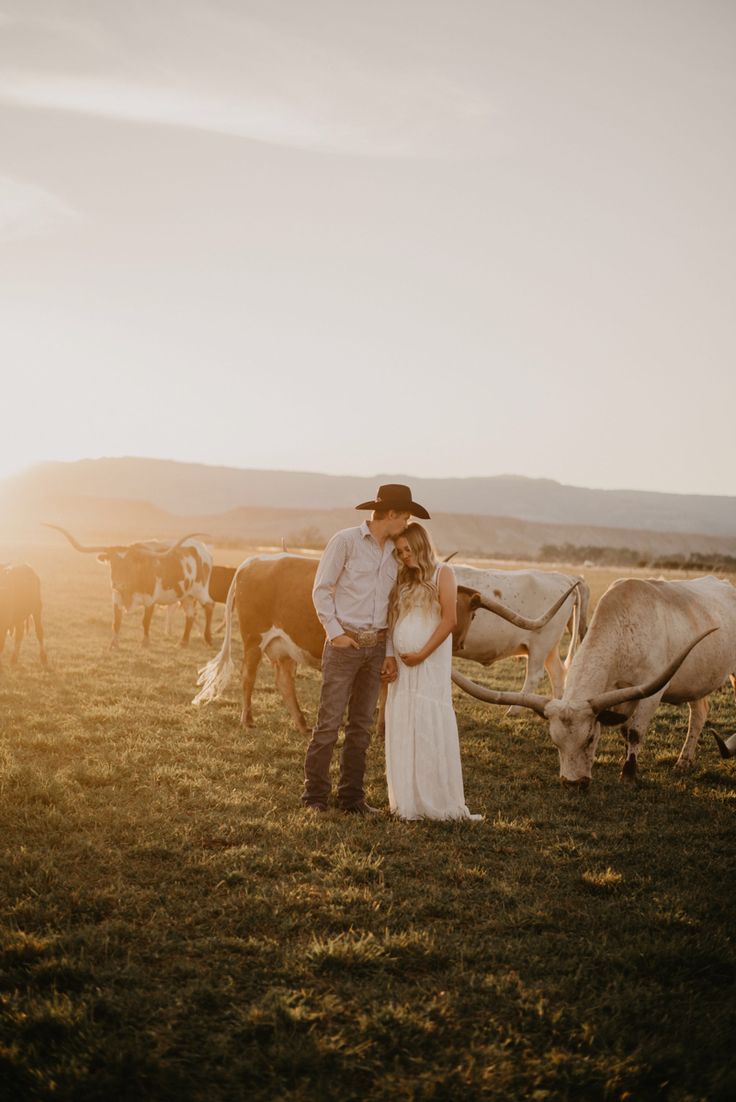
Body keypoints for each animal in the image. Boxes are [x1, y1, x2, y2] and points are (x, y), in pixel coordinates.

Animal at [46, 524, 213, 643]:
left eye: (130, 563)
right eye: (112, 563)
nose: (118, 584)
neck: (130, 588)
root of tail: (204, 549)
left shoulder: (150, 600)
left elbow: (145, 621)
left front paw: (145, 643)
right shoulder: (116, 598)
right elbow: (116, 622)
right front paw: (113, 644)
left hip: (201, 590)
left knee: (209, 606)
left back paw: (208, 638)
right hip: (186, 595)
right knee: (190, 614)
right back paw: (183, 642)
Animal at [191, 555, 572, 736]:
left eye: (471, 613)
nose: (456, 638)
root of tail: (254, 561)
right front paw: (381, 729)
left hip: (285, 646)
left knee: (284, 682)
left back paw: (301, 724)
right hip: (254, 638)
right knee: (247, 678)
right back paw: (248, 720)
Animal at [451, 564, 590, 709]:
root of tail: (565, 578)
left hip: (540, 646)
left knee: (534, 676)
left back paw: (513, 709)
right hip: (550, 648)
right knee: (557, 673)